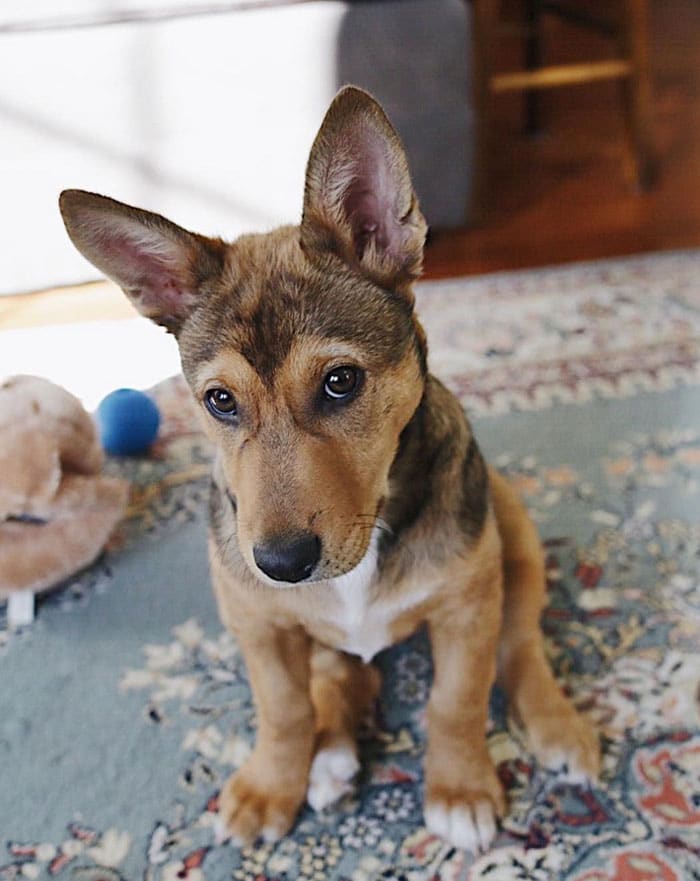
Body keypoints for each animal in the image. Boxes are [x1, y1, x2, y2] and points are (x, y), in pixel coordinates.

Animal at [57, 87, 600, 852]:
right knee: (338, 678)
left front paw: (460, 787)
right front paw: (270, 785)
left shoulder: (465, 608)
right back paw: (332, 759)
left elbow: (456, 698)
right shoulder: (256, 620)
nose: (281, 563)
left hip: (511, 541)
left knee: (521, 643)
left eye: (341, 381)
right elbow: (284, 708)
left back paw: (554, 726)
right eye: (220, 400)